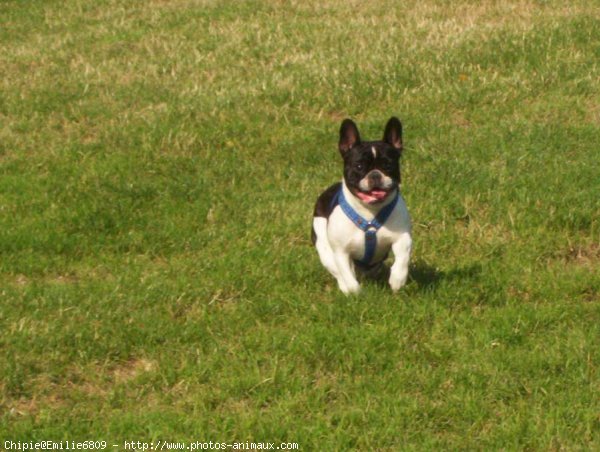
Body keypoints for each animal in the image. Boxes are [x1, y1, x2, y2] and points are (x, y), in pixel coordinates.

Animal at [310, 116, 412, 294]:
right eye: (358, 166)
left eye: (388, 165)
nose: (375, 174)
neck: (370, 212)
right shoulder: (341, 252)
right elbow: (346, 274)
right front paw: (354, 293)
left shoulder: (402, 237)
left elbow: (402, 257)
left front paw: (398, 279)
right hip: (324, 248)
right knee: (338, 271)